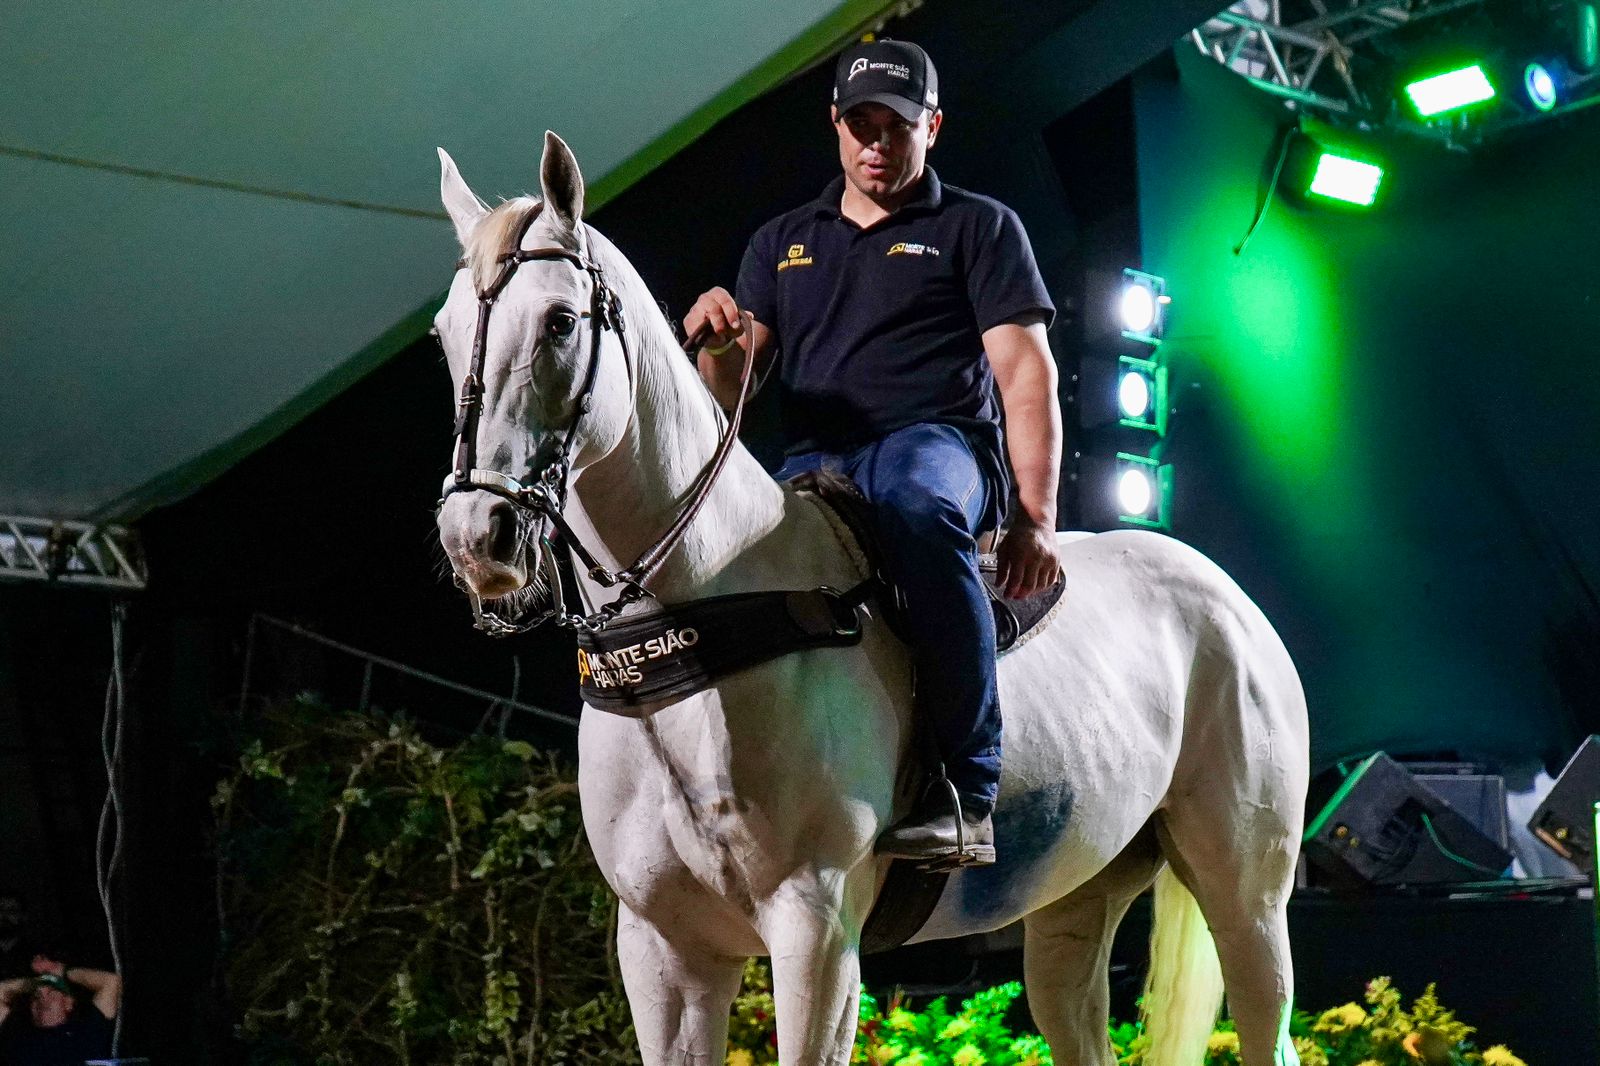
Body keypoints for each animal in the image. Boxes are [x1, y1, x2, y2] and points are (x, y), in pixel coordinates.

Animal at [432, 135, 1305, 1062]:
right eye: (444, 333)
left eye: (560, 323)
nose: (476, 534)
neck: (696, 628)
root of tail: (1228, 599)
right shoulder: (664, 948)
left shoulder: (815, 928)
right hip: (1077, 907)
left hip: (1247, 897)